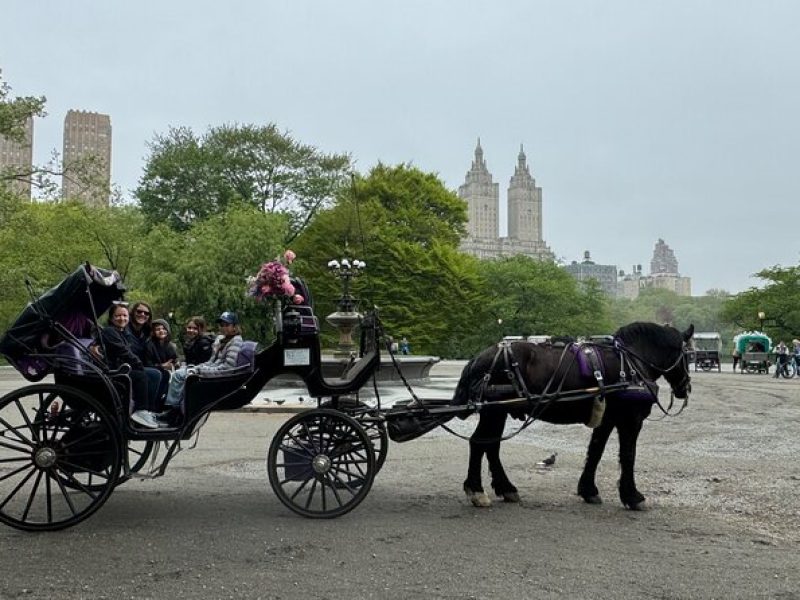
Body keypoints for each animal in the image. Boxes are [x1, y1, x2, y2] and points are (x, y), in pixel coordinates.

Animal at [454, 324, 692, 510]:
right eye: (689, 355)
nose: (685, 388)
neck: (631, 361)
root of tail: (478, 357)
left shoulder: (607, 419)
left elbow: (595, 451)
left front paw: (588, 490)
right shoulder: (630, 420)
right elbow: (628, 455)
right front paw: (632, 496)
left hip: (497, 412)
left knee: (490, 446)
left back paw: (505, 488)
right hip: (494, 411)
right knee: (480, 443)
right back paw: (477, 491)